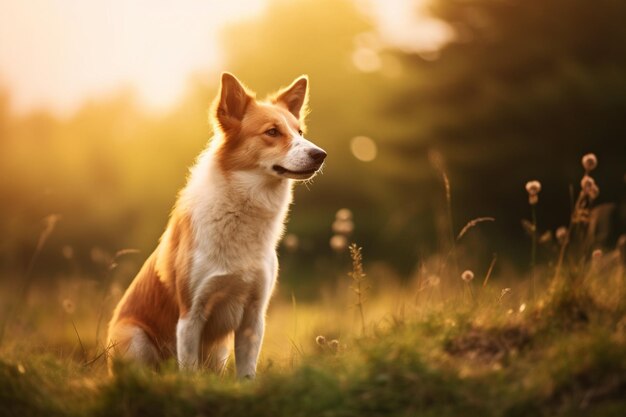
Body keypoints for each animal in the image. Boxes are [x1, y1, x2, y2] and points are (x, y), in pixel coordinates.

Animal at [106, 72, 326, 376]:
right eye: (272, 132)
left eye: (300, 132)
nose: (321, 154)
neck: (240, 212)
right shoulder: (190, 316)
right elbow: (189, 373)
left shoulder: (253, 316)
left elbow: (246, 372)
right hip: (134, 337)